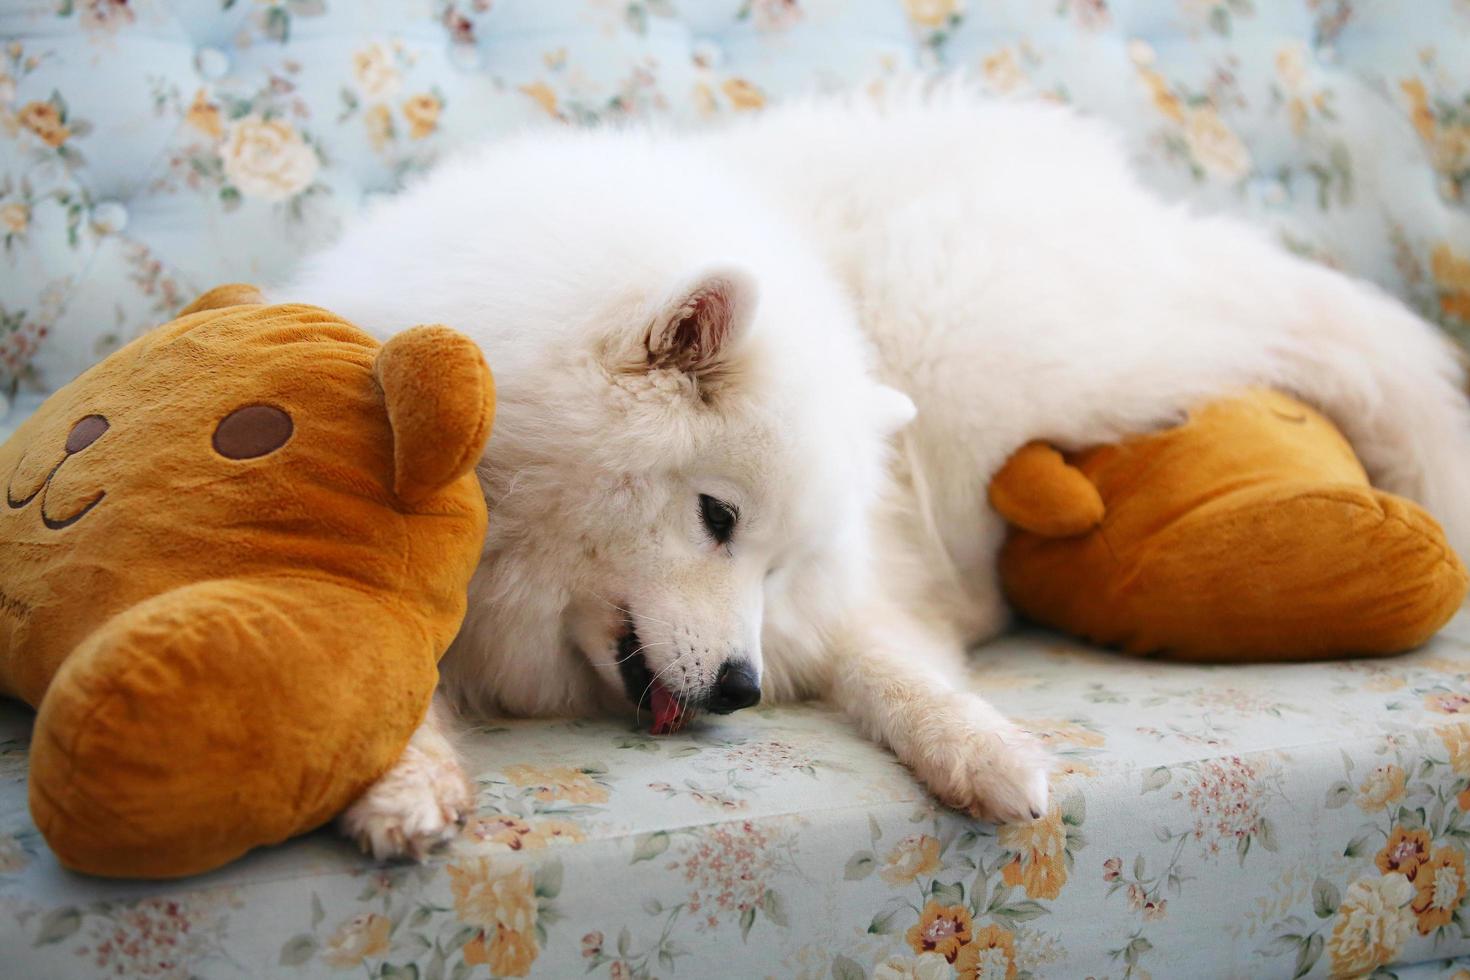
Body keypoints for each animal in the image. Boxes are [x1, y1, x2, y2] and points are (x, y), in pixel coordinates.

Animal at [277, 89, 1470, 858]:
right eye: (717, 518)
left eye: (776, 561)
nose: (741, 690)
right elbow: (381, 666)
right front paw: (403, 782)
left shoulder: (854, 590)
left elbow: (895, 667)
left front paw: (984, 749)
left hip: (988, 361)